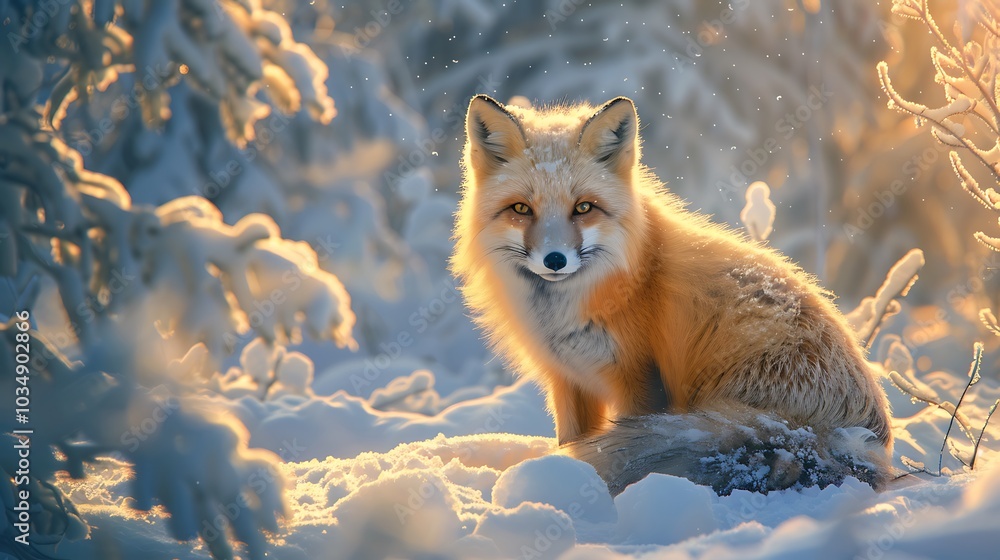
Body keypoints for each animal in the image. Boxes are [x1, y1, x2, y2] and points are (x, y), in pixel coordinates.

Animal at [450, 94, 894, 495]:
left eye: (584, 208)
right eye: (521, 209)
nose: (555, 259)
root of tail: (861, 442)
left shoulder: (640, 382)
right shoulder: (569, 381)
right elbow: (571, 441)